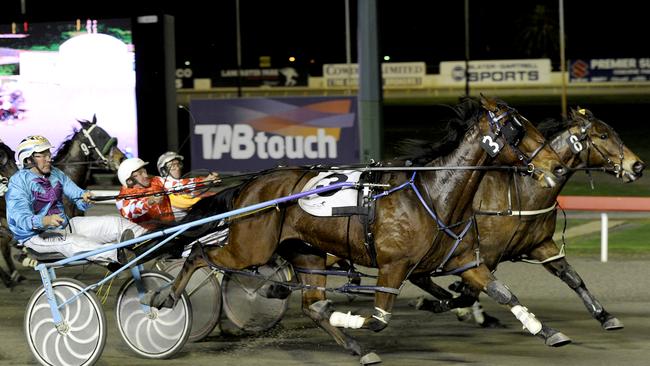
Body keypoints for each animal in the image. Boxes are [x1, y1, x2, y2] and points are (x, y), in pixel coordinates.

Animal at [143, 95, 568, 364]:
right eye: (517, 129)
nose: (556, 165)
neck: (433, 193)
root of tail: (253, 184)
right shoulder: (393, 267)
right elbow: (378, 319)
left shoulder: (462, 261)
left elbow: (503, 292)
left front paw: (548, 332)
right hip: (251, 246)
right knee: (200, 255)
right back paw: (165, 296)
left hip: (307, 253)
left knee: (312, 304)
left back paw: (355, 347)